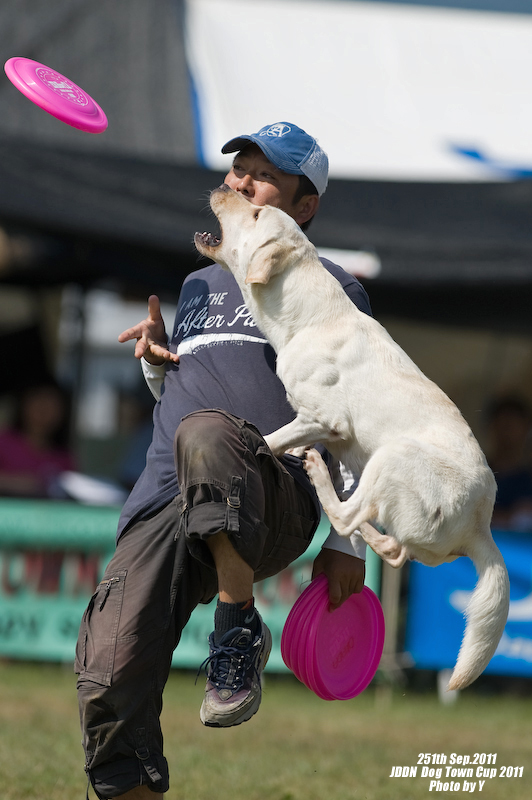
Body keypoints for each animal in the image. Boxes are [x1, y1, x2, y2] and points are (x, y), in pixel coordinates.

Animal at [194, 184, 508, 692]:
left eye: (257, 211)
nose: (224, 186)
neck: (307, 317)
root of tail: (482, 522)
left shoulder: (326, 419)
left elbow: (270, 437)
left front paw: (270, 445)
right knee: (393, 549)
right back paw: (368, 530)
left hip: (394, 456)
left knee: (349, 519)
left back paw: (321, 477)